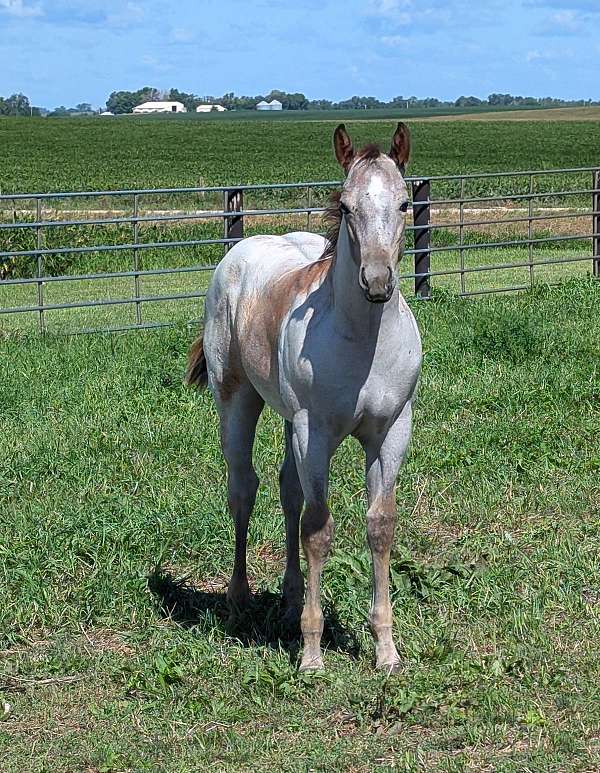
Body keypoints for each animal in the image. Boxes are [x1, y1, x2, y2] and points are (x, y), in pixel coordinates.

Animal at [186, 123, 422, 672]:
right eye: (346, 206)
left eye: (404, 203)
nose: (377, 282)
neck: (361, 342)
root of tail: (241, 249)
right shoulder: (316, 433)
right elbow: (318, 528)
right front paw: (312, 653)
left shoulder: (391, 431)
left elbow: (380, 525)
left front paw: (386, 650)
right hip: (238, 401)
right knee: (244, 490)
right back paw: (239, 600)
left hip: (290, 420)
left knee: (287, 490)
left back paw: (292, 598)